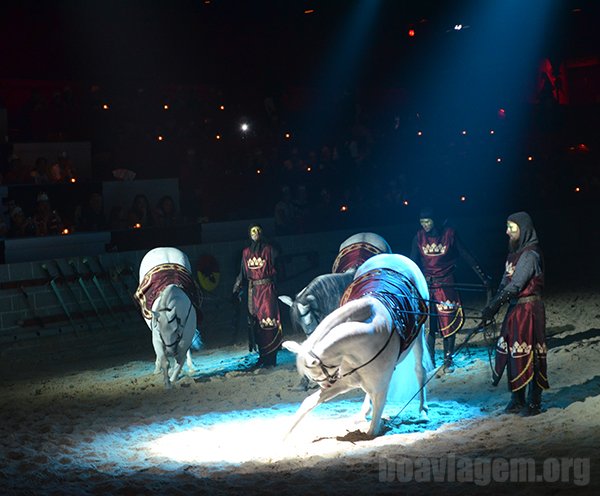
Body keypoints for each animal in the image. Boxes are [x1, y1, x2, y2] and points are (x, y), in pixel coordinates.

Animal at [136, 247, 202, 388]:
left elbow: (180, 359)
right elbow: (164, 360)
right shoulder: (157, 338)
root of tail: (163, 248)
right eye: (159, 330)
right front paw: (167, 382)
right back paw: (157, 368)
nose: (170, 351)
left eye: (176, 330)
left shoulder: (185, 338)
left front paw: (174, 377)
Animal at [282, 254, 432, 436]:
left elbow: (372, 431)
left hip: (419, 332)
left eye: (314, 375)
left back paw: (423, 411)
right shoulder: (345, 382)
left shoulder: (380, 389)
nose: (325, 385)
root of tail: (394, 256)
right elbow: (308, 402)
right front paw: (283, 435)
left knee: (420, 369)